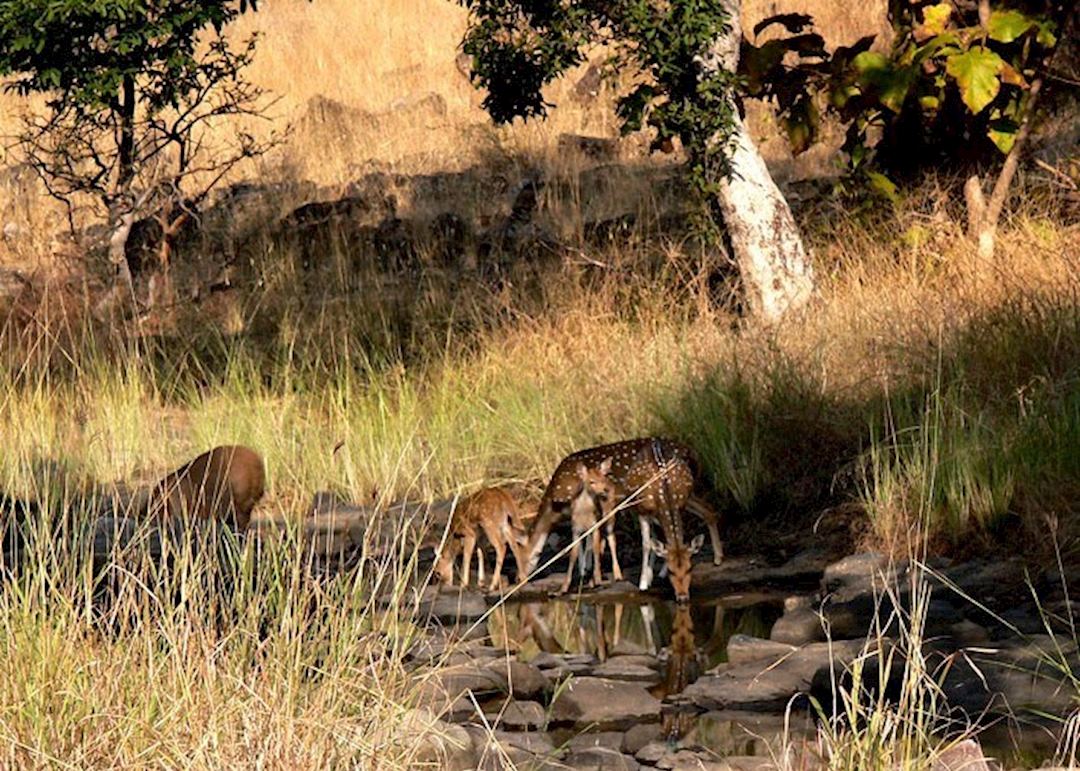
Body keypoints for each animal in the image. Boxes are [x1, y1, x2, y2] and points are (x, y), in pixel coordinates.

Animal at [524, 437, 722, 602]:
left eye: (519, 554)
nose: (520, 578)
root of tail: (692, 451)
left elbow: (591, 540)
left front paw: (591, 576)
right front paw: (587, 574)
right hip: (683, 498)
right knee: (706, 511)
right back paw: (715, 558)